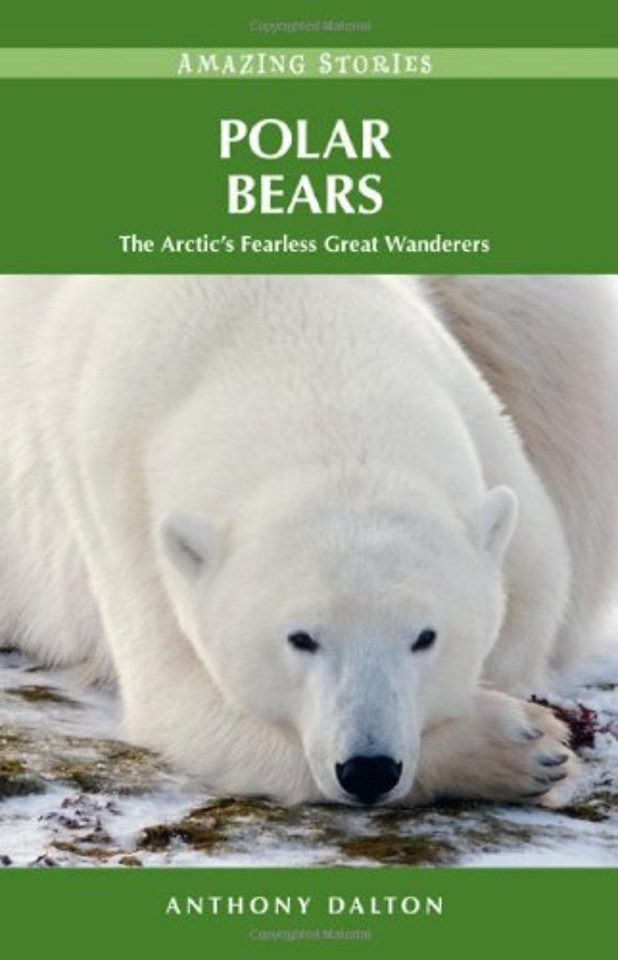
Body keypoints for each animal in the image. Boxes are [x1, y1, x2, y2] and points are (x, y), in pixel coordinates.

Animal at [0, 274, 616, 808]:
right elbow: (185, 704)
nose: (368, 768)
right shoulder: (120, 499)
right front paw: (523, 744)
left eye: (426, 636)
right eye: (300, 638)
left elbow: (536, 596)